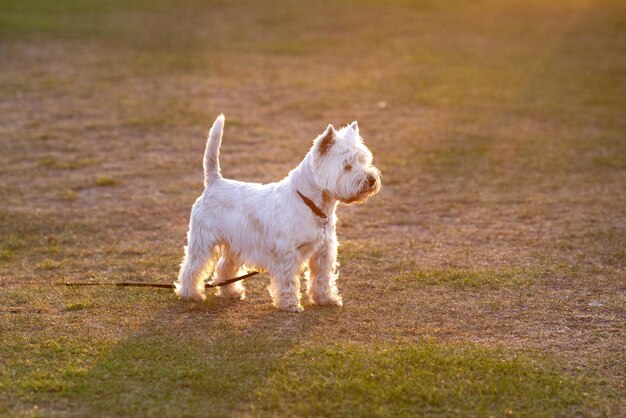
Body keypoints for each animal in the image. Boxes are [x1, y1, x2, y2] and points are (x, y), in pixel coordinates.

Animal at [174, 114, 380, 310]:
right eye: (347, 165)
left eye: (363, 161)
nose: (371, 180)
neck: (312, 203)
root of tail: (214, 182)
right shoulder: (287, 253)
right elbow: (288, 280)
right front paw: (290, 304)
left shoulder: (324, 251)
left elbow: (322, 277)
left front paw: (326, 299)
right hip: (203, 241)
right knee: (192, 266)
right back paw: (190, 294)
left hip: (235, 244)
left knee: (224, 265)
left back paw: (231, 292)